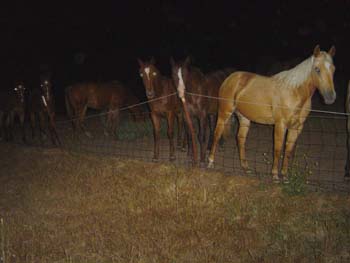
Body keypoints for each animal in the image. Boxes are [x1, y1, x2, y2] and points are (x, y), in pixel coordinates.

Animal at [208, 45, 336, 183]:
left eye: (333, 69)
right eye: (317, 69)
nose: (330, 97)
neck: (294, 92)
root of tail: (230, 77)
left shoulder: (296, 127)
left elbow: (288, 150)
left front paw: (284, 176)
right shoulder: (280, 125)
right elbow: (278, 148)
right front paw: (275, 175)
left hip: (244, 118)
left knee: (240, 139)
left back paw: (245, 167)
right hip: (224, 113)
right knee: (217, 134)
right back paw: (210, 162)